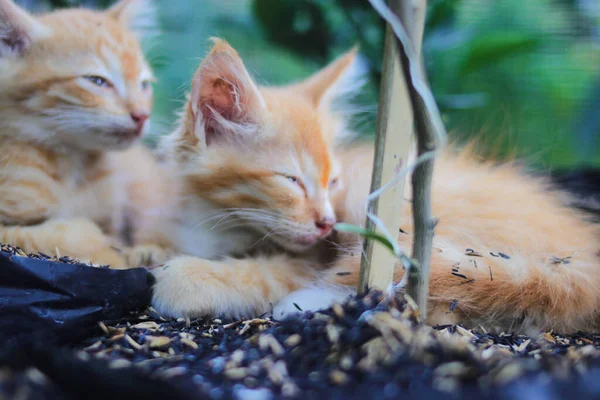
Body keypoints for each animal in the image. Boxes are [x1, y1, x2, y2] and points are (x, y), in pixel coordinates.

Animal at [0, 0, 164, 268]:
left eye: (144, 86)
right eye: (96, 81)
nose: (142, 115)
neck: (73, 162)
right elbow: (49, 234)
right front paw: (108, 252)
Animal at [151, 39, 600, 334]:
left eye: (331, 181)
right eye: (292, 180)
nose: (327, 222)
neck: (213, 219)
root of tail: (581, 254)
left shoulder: (314, 255)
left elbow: (265, 272)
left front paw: (182, 280)